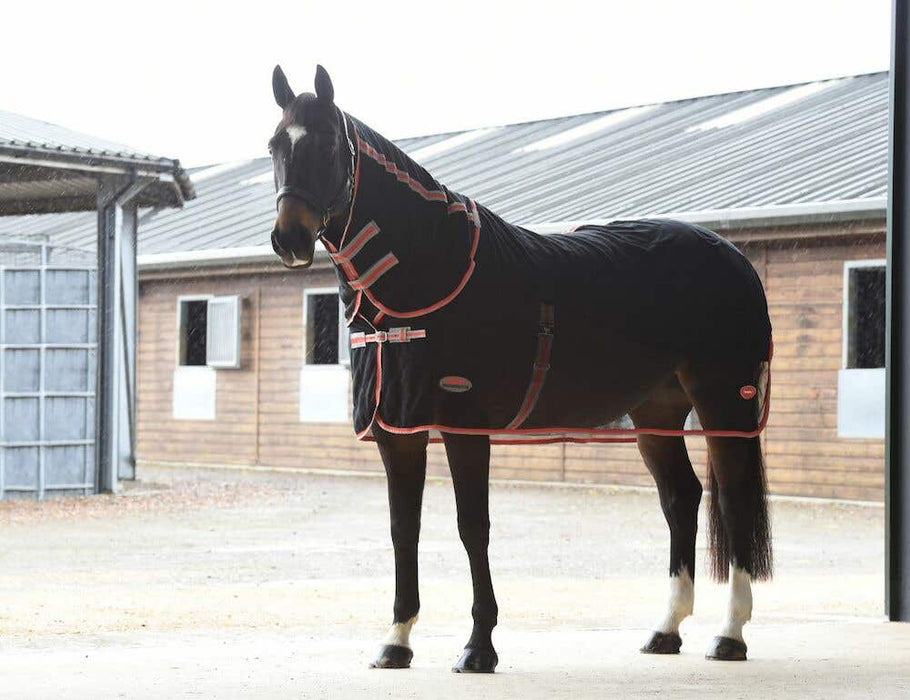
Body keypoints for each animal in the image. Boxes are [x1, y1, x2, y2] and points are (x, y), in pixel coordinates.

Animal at [268, 65, 772, 672]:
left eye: (326, 144)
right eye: (275, 145)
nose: (289, 240)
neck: (428, 276)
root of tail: (734, 256)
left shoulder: (464, 426)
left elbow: (472, 527)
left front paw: (478, 646)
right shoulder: (399, 432)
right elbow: (402, 529)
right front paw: (396, 641)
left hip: (724, 403)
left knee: (734, 500)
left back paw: (731, 635)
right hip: (657, 414)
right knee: (682, 499)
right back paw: (666, 630)